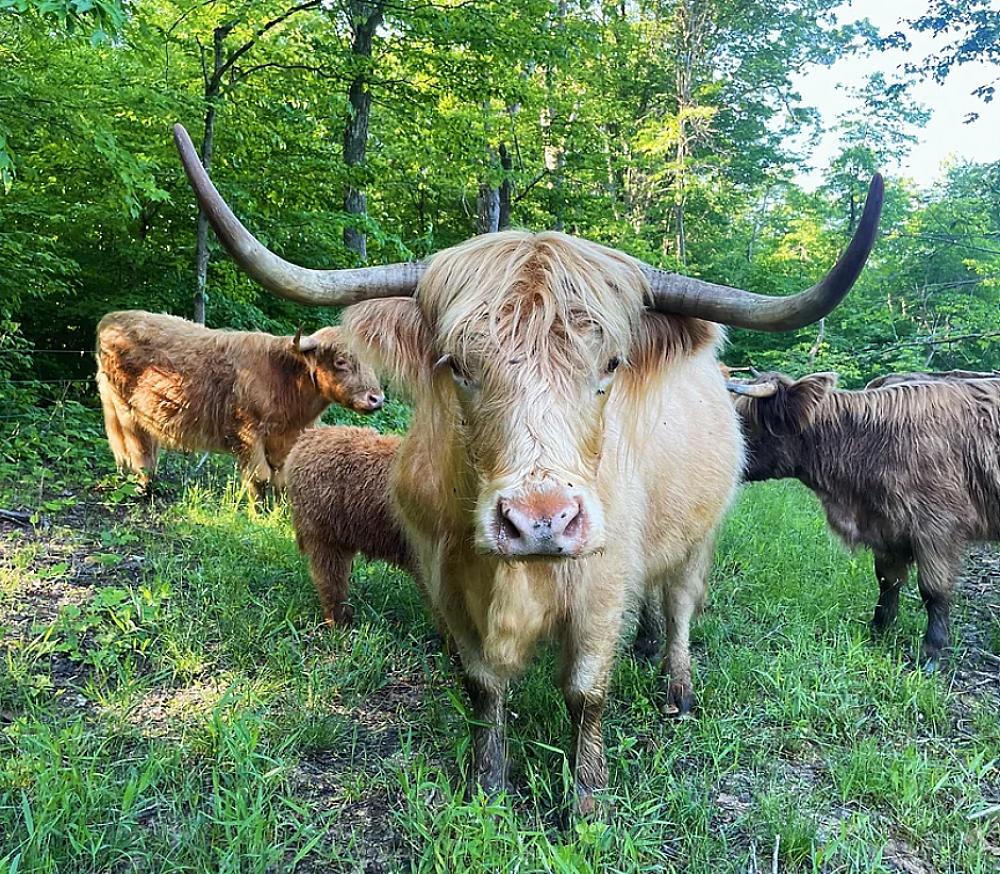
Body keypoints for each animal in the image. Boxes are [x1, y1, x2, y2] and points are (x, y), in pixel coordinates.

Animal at [96, 310, 384, 498]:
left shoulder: (284, 441)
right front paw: (259, 517)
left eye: (372, 363)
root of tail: (111, 318)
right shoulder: (247, 433)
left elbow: (280, 479)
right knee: (138, 449)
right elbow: (260, 478)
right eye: (340, 361)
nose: (377, 399)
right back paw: (142, 488)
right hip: (124, 409)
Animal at [727, 371, 1000, 669]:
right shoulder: (887, 528)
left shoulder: (938, 528)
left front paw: (931, 652)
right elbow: (887, 580)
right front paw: (879, 630)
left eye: (742, 421)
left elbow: (933, 591)